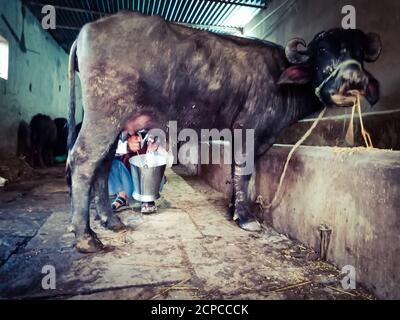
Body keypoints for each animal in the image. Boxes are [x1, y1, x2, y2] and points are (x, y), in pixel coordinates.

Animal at [66, 11, 382, 252]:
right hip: (105, 115)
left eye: (359, 54)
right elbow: (244, 172)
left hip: (113, 123)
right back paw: (86, 237)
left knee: (102, 165)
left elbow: (237, 171)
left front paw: (234, 208)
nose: (352, 81)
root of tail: (88, 29)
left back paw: (110, 221)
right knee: (83, 160)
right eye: (321, 52)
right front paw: (245, 217)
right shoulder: (248, 129)